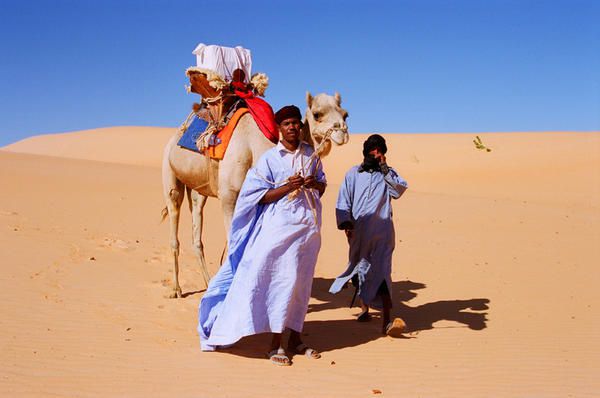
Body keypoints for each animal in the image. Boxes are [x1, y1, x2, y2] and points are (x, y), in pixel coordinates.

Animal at [162, 93, 350, 296]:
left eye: (345, 114)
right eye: (317, 114)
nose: (343, 132)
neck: (254, 147)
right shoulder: (228, 196)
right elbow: (234, 243)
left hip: (198, 189)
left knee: (197, 225)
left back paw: (208, 283)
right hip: (170, 174)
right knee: (174, 215)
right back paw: (176, 289)